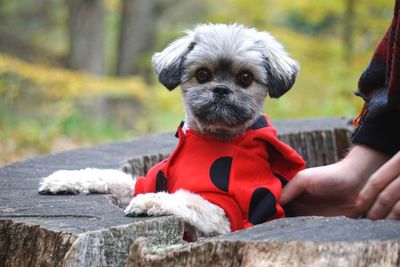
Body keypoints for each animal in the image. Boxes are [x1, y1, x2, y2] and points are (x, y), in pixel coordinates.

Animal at [39, 23, 304, 241]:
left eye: (246, 78)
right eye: (203, 74)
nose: (221, 89)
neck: (209, 138)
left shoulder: (225, 213)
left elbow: (186, 198)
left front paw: (148, 202)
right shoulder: (145, 181)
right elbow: (113, 177)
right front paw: (65, 179)